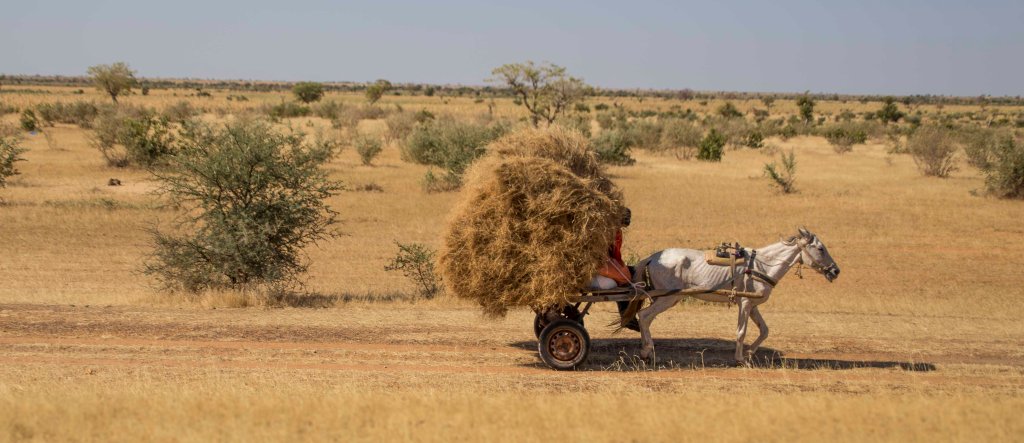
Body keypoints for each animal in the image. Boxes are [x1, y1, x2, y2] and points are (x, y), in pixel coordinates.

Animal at [630, 228, 840, 364]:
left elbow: (765, 330)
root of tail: (653, 257)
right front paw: (740, 358)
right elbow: (741, 332)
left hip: (666, 298)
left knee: (645, 318)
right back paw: (648, 352)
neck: (762, 266)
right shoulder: (745, 303)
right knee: (645, 316)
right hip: (668, 298)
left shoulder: (753, 305)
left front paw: (749, 353)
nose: (836, 271)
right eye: (820, 248)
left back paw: (645, 350)